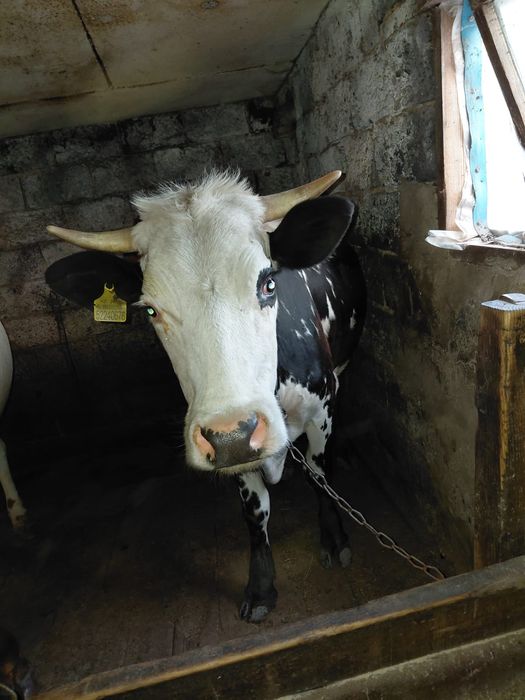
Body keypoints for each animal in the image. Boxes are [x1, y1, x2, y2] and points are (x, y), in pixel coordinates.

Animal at [47, 170, 366, 622]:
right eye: (150, 310)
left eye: (268, 283)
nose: (234, 433)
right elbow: (255, 510)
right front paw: (261, 587)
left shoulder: (321, 406)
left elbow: (319, 475)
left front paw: (334, 538)